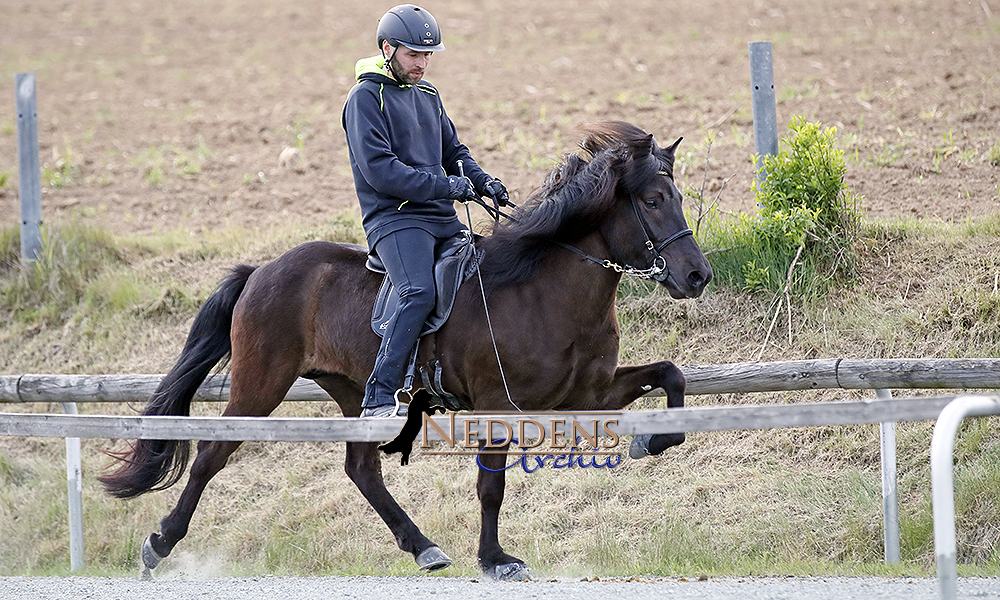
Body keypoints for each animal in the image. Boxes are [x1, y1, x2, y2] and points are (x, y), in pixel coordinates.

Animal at [99, 119, 712, 580]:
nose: (697, 276)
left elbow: (672, 374)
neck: (544, 286)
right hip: (260, 385)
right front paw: (496, 560)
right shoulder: (496, 404)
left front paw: (654, 440)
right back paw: (158, 545)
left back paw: (423, 546)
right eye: (654, 199)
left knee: (361, 469)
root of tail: (262, 270)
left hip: (354, 390)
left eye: (679, 197)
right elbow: (491, 485)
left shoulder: (588, 393)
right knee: (211, 454)